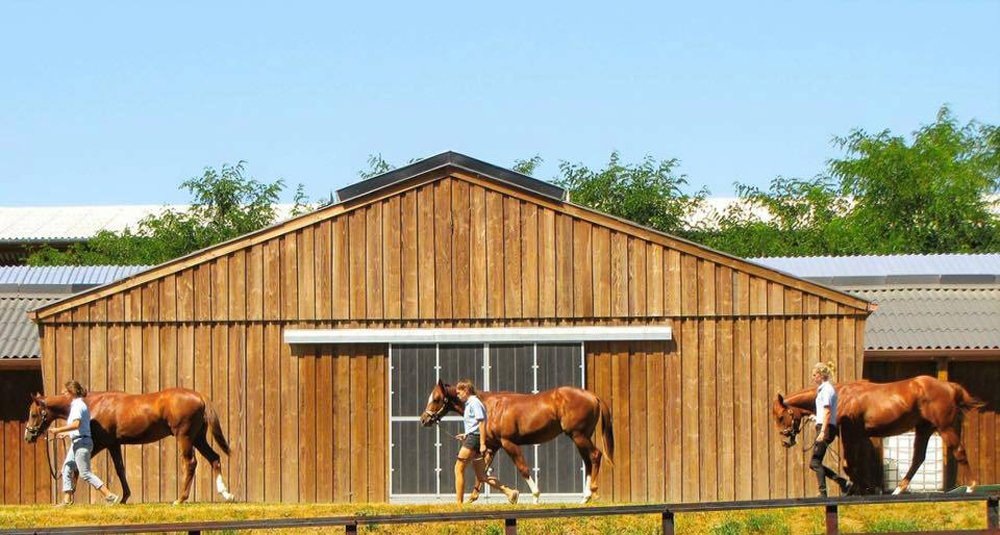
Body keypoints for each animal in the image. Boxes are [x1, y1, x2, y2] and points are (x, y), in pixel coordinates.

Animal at [24, 387, 235, 504]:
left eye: (33, 414)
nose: (28, 436)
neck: (94, 404)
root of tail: (199, 396)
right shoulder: (114, 444)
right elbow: (120, 470)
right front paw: (125, 497)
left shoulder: (99, 443)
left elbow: (77, 469)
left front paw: (70, 499)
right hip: (198, 438)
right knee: (215, 458)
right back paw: (226, 494)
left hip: (184, 437)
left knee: (190, 464)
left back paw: (180, 499)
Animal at [420, 379, 614, 504]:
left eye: (436, 399)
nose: (424, 420)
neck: (490, 407)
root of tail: (593, 396)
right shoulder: (492, 446)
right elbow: (483, 474)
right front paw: (474, 498)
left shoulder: (508, 443)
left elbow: (523, 469)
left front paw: (535, 496)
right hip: (580, 437)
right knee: (588, 462)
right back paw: (585, 497)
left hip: (578, 435)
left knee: (595, 455)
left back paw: (592, 492)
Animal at [773, 375, 985, 495]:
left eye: (781, 416)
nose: (785, 440)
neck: (841, 396)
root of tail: (949, 386)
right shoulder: (855, 435)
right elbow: (851, 464)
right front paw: (858, 487)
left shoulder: (850, 433)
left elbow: (848, 465)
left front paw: (860, 488)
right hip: (923, 429)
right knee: (918, 458)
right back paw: (898, 489)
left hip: (945, 427)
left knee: (959, 451)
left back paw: (971, 486)